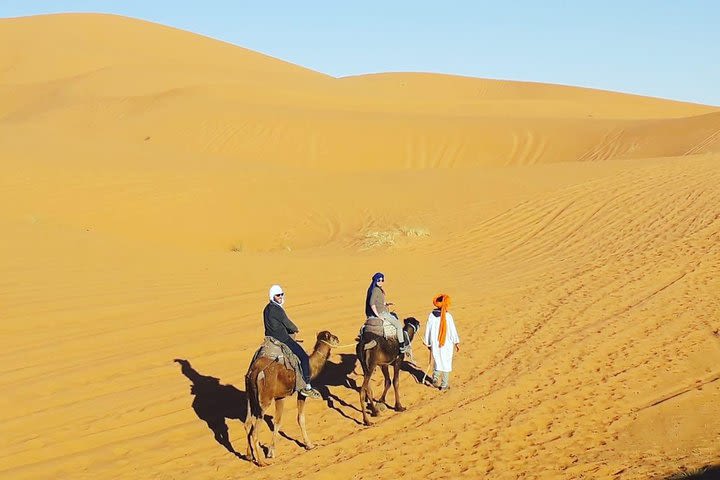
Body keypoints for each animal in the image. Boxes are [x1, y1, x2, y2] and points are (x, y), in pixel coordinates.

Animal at [245, 330, 340, 464]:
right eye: (331, 336)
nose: (338, 339)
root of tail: (255, 372)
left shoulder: (280, 397)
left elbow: (277, 422)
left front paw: (271, 451)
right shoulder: (300, 392)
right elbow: (300, 418)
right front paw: (309, 445)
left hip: (250, 397)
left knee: (248, 423)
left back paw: (249, 456)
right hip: (264, 400)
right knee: (254, 431)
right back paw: (261, 462)